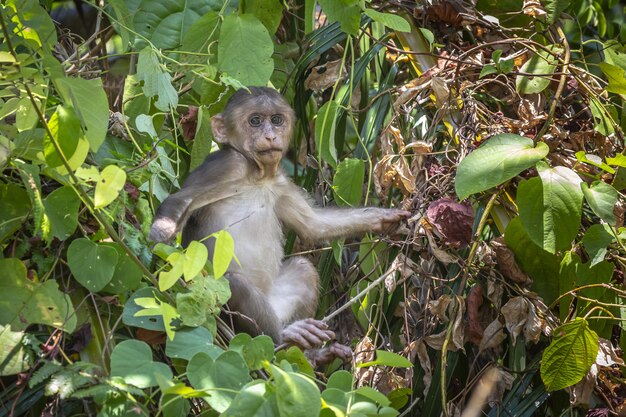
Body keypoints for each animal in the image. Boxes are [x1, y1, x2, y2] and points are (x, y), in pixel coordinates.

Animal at [148, 87, 408, 358]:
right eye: (255, 121)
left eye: (276, 120)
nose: (270, 135)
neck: (257, 175)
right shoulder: (228, 165)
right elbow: (181, 200)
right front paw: (161, 234)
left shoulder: (280, 183)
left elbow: (313, 224)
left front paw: (382, 217)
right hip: (222, 310)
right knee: (235, 284)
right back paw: (283, 337)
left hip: (275, 303)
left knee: (303, 268)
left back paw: (310, 355)